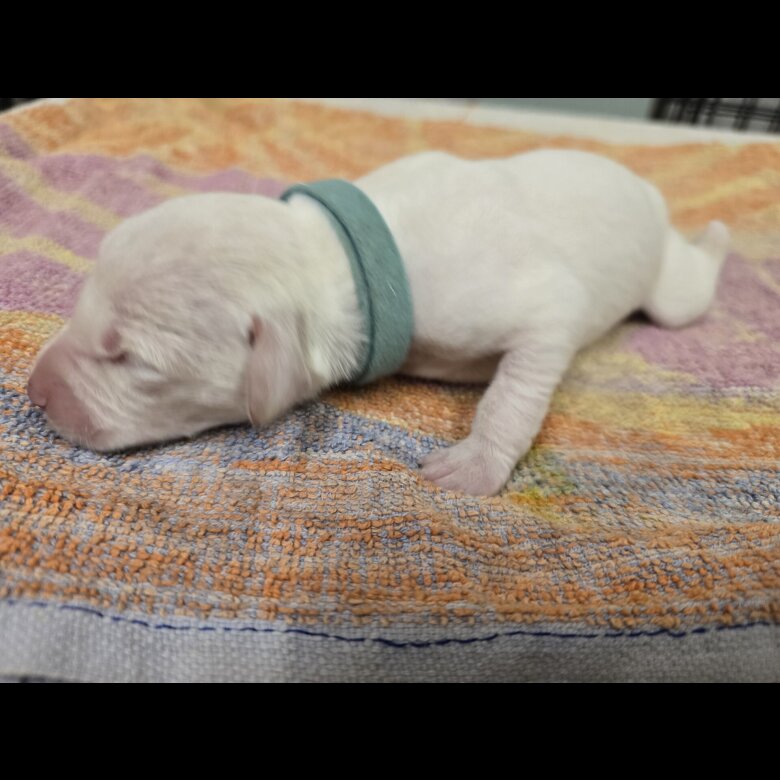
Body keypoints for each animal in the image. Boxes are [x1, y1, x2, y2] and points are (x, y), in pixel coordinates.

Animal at [27, 150, 729, 496]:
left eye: (131, 359)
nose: (33, 393)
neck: (343, 254)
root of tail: (646, 187)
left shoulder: (542, 309)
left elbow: (518, 384)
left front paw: (473, 466)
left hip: (672, 292)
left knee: (693, 282)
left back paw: (718, 240)